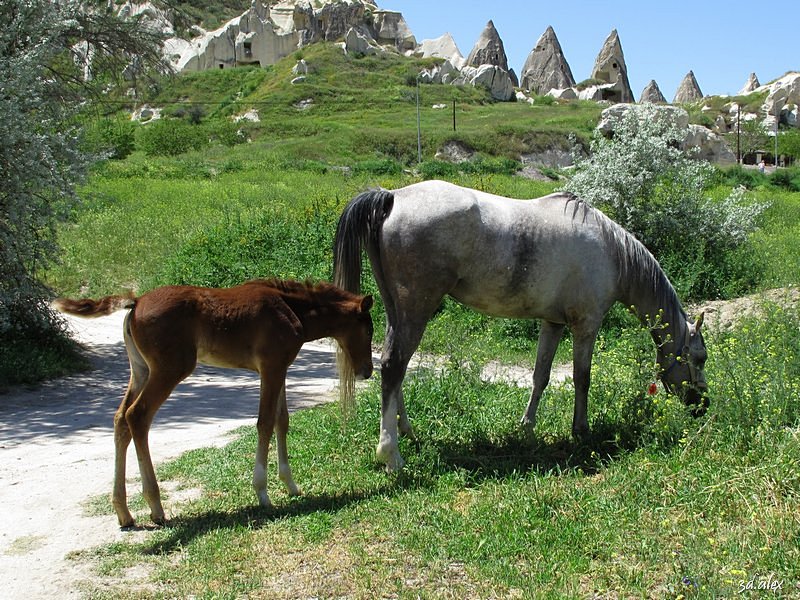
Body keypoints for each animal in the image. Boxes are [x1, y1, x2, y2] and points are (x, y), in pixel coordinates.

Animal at [54, 278, 374, 528]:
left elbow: (282, 421)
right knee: (138, 416)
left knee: (120, 419)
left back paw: (124, 512)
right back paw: (156, 508)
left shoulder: (279, 368)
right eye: (368, 330)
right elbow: (264, 423)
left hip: (141, 370)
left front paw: (291, 485)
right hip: (171, 368)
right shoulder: (271, 367)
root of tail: (137, 301)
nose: (367, 371)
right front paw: (262, 493)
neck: (293, 310)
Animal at [332, 180, 708, 472]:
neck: (611, 252)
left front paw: (526, 430)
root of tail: (392, 196)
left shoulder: (553, 323)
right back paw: (391, 455)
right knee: (394, 366)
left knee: (394, 367)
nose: (702, 406)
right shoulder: (586, 325)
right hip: (416, 309)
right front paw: (581, 431)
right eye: (699, 358)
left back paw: (408, 433)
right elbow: (582, 379)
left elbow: (541, 376)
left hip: (397, 311)